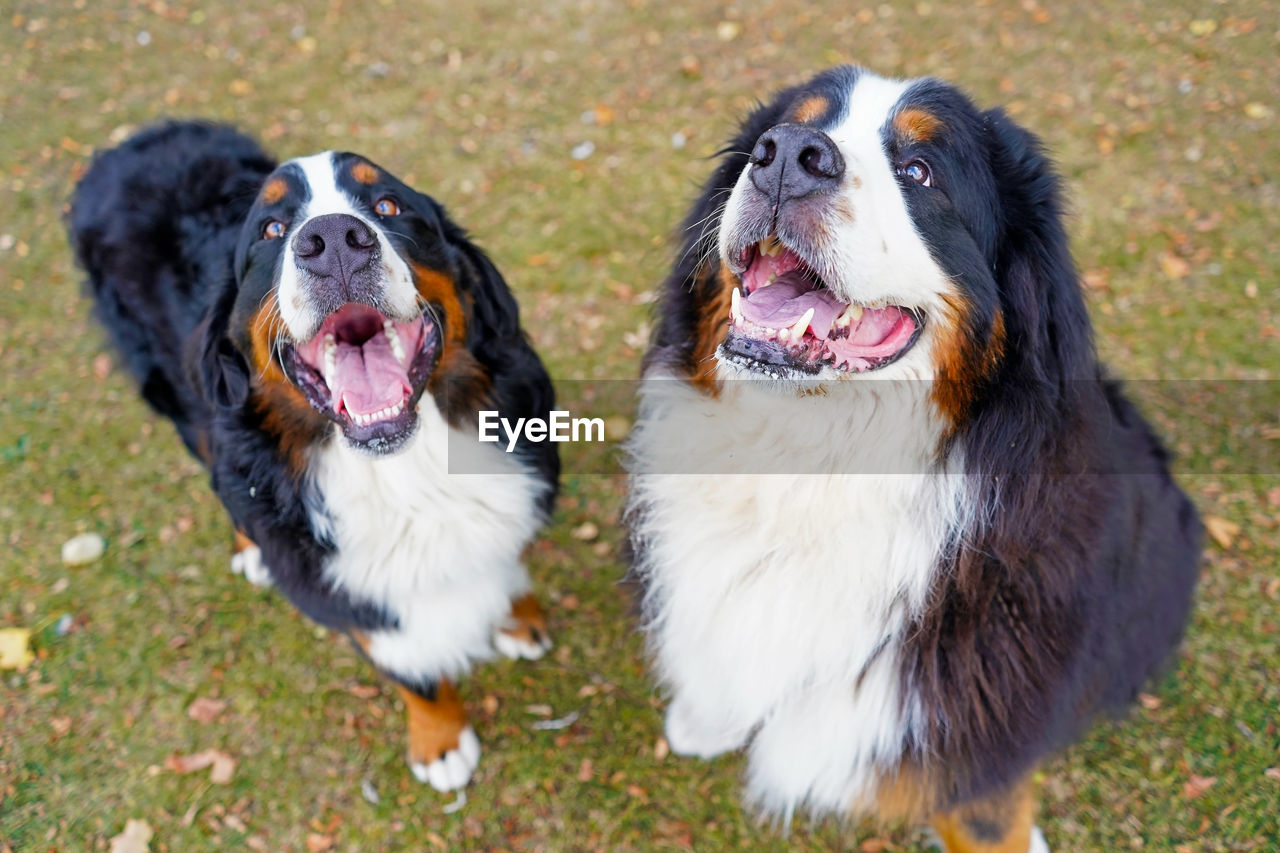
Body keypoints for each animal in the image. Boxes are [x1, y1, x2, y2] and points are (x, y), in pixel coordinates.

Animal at [68, 119, 560, 788]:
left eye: (388, 206)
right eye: (271, 230)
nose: (332, 242)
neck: (405, 472)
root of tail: (129, 142)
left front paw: (517, 618)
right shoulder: (345, 590)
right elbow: (412, 672)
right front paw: (440, 741)